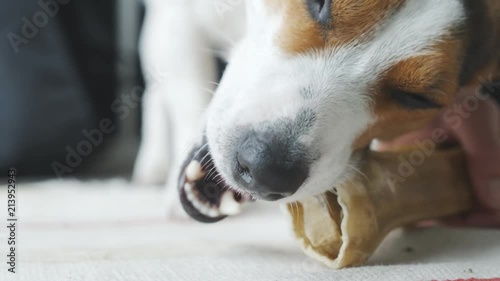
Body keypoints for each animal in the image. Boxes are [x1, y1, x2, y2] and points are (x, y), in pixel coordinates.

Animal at [135, 0, 498, 219]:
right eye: (320, 3)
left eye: (417, 99)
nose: (267, 168)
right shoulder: (178, 19)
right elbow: (188, 97)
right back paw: (153, 162)